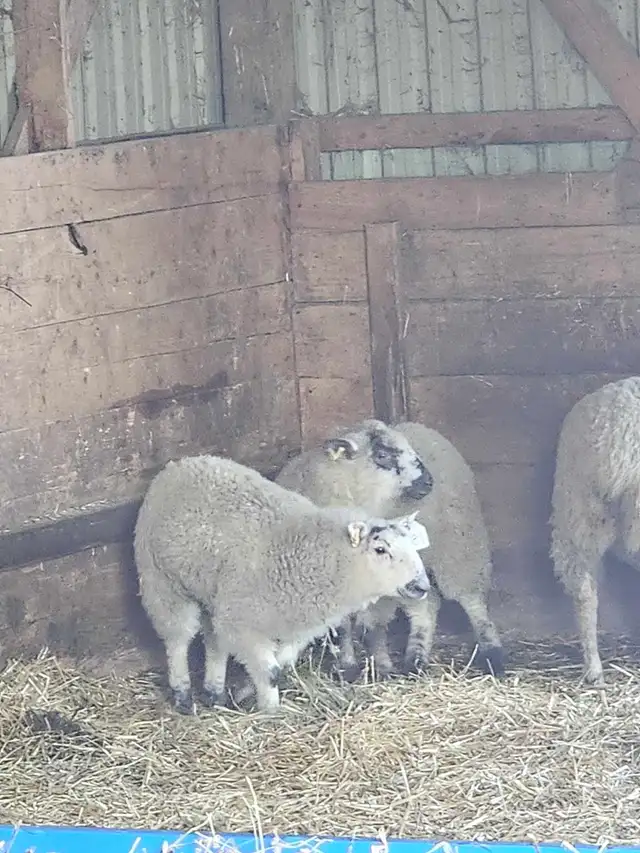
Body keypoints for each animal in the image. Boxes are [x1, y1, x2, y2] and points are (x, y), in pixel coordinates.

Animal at [133, 452, 431, 714]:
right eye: (380, 550)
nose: (422, 586)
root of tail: (181, 464)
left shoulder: (295, 628)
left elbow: (281, 665)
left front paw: (246, 693)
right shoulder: (242, 621)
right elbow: (271, 672)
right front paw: (270, 712)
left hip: (212, 591)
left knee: (214, 641)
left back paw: (214, 693)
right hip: (161, 581)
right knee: (177, 639)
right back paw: (183, 694)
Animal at [276, 419, 504, 681]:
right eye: (382, 455)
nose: (428, 482)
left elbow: (374, 626)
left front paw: (382, 666)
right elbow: (345, 626)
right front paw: (348, 666)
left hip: (460, 547)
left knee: (471, 600)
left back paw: (492, 654)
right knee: (426, 607)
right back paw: (416, 658)